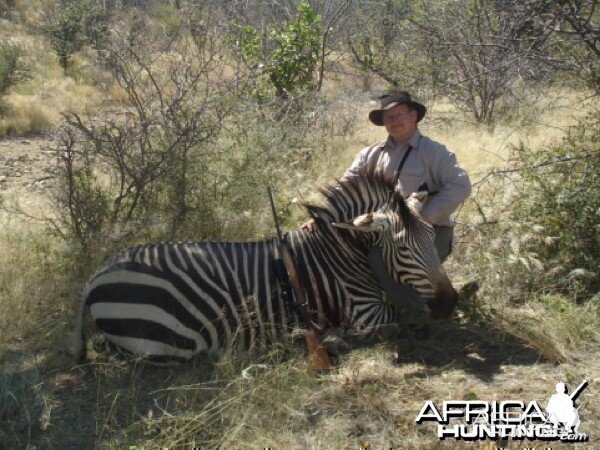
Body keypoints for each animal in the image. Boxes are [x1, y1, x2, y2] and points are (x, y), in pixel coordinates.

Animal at [75, 167, 460, 364]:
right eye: (403, 248)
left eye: (431, 236)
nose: (448, 303)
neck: (337, 252)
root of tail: (95, 275)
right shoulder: (365, 313)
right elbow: (410, 319)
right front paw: (337, 339)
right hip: (162, 343)